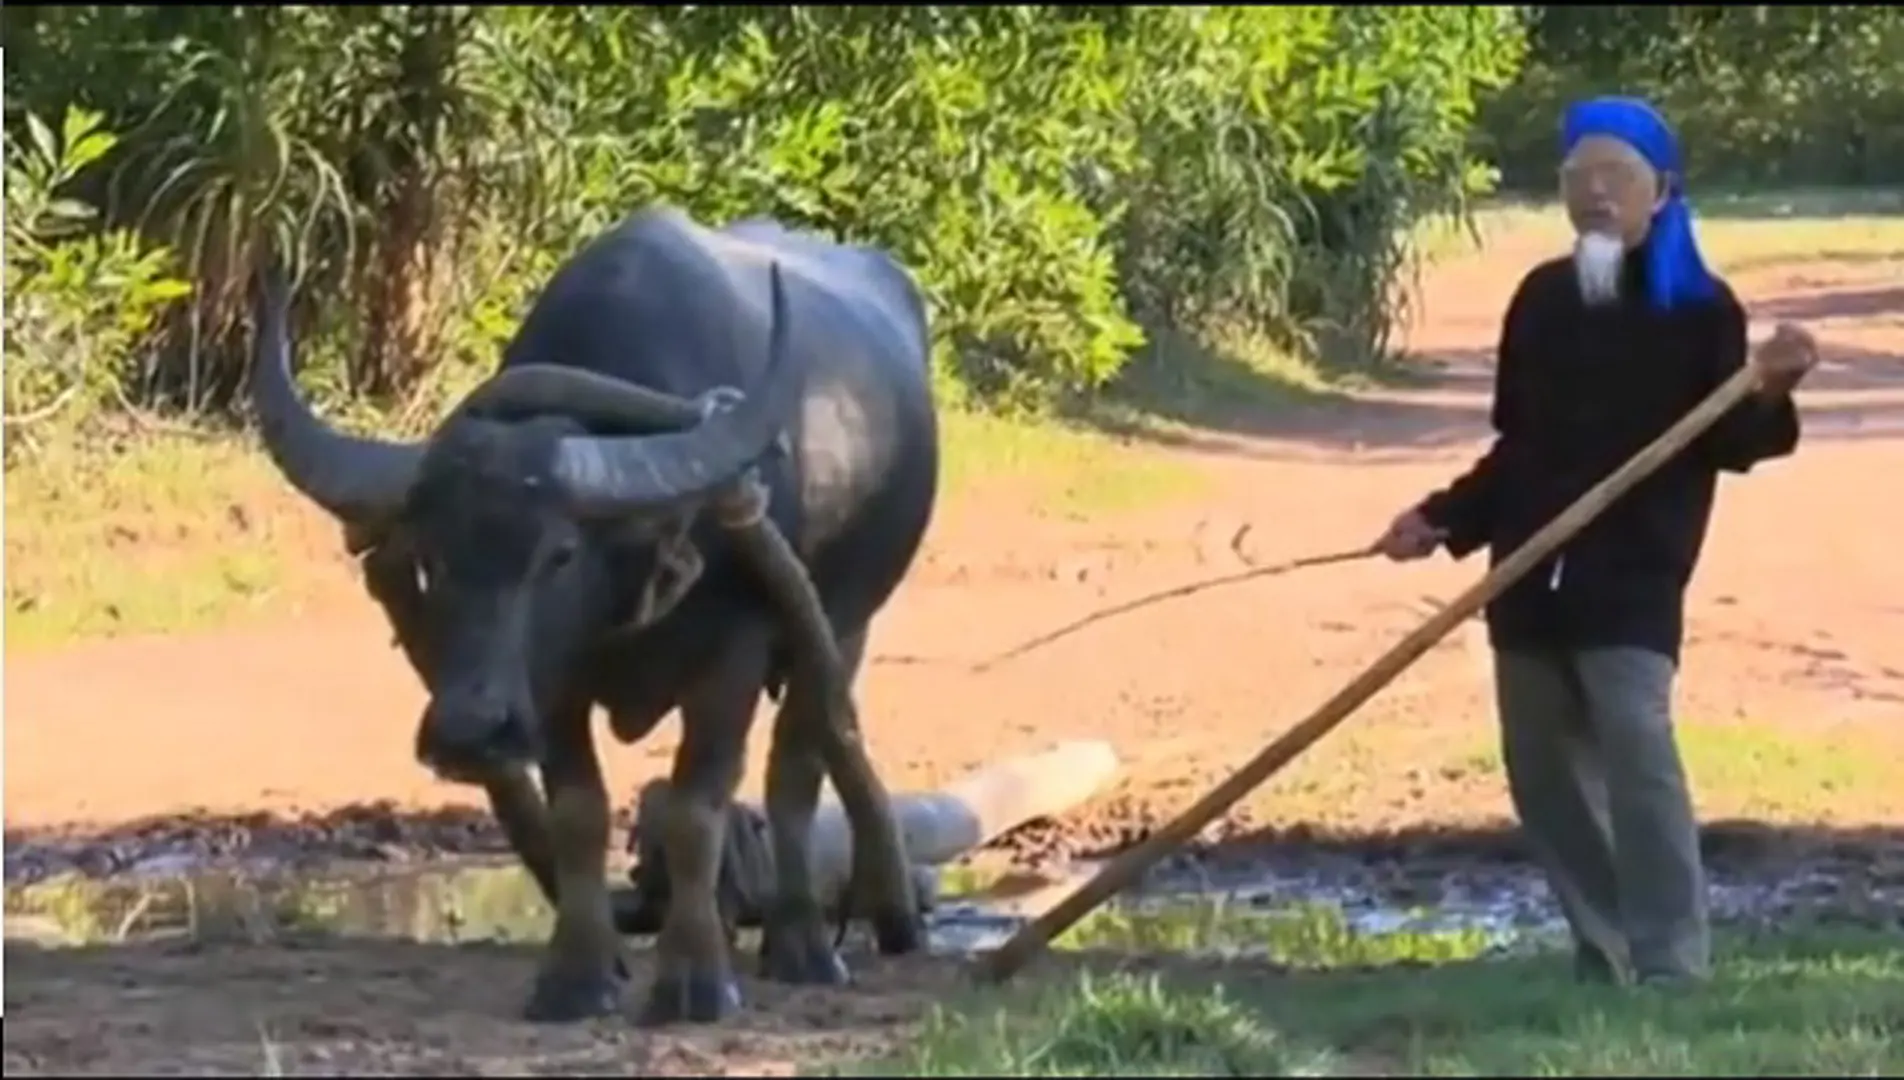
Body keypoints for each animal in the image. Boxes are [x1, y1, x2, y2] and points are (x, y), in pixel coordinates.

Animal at [251, 206, 936, 1028]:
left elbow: (697, 808)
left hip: (846, 624)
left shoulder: (734, 658)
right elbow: (579, 813)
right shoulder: (552, 684)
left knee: (797, 767)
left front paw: (695, 982)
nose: (467, 732)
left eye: (560, 553)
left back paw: (803, 947)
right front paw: (577, 977)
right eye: (430, 557)